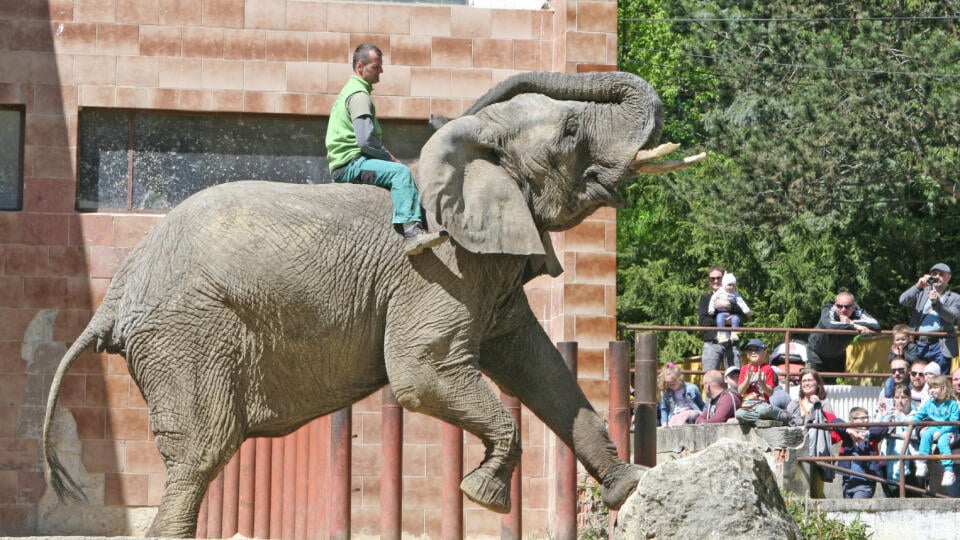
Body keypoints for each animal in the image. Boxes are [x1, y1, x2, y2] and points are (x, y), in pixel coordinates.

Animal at [43, 70, 704, 536]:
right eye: (570, 135)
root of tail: (113, 296)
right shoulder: (440, 269)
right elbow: (418, 373)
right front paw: (483, 494)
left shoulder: (484, 271)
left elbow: (541, 368)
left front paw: (632, 487)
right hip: (185, 333)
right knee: (201, 454)